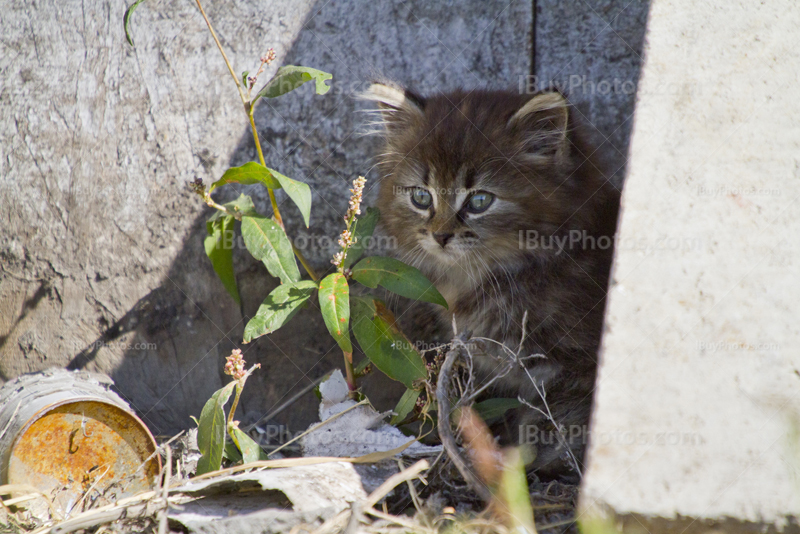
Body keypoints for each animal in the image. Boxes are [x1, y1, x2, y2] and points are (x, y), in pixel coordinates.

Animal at [362, 85, 620, 482]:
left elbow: (555, 421)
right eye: (421, 196)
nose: (440, 236)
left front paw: (524, 461)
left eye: (480, 200)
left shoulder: (579, 368)